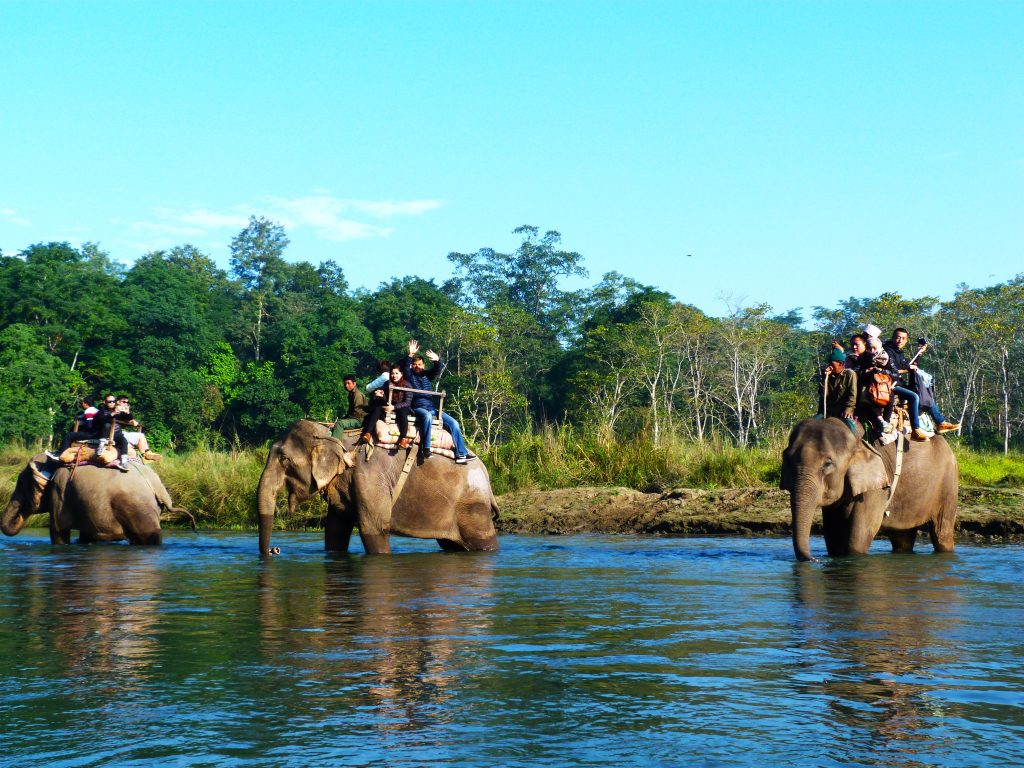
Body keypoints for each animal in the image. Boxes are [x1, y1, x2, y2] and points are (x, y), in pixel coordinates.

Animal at [2, 454, 186, 545]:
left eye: (21, 483)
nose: (20, 515)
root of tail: (157, 487)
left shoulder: (58, 495)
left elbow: (58, 532)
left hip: (137, 508)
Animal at [257, 419, 500, 555]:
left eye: (284, 459)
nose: (274, 549)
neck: (330, 434)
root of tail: (487, 476)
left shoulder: (369, 478)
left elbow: (373, 527)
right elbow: (335, 528)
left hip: (472, 508)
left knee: (482, 542)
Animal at [780, 417, 958, 561]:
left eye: (827, 464)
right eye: (786, 458)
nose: (814, 559)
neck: (854, 439)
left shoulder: (877, 488)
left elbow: (858, 540)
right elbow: (833, 539)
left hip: (948, 485)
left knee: (942, 533)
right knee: (902, 538)